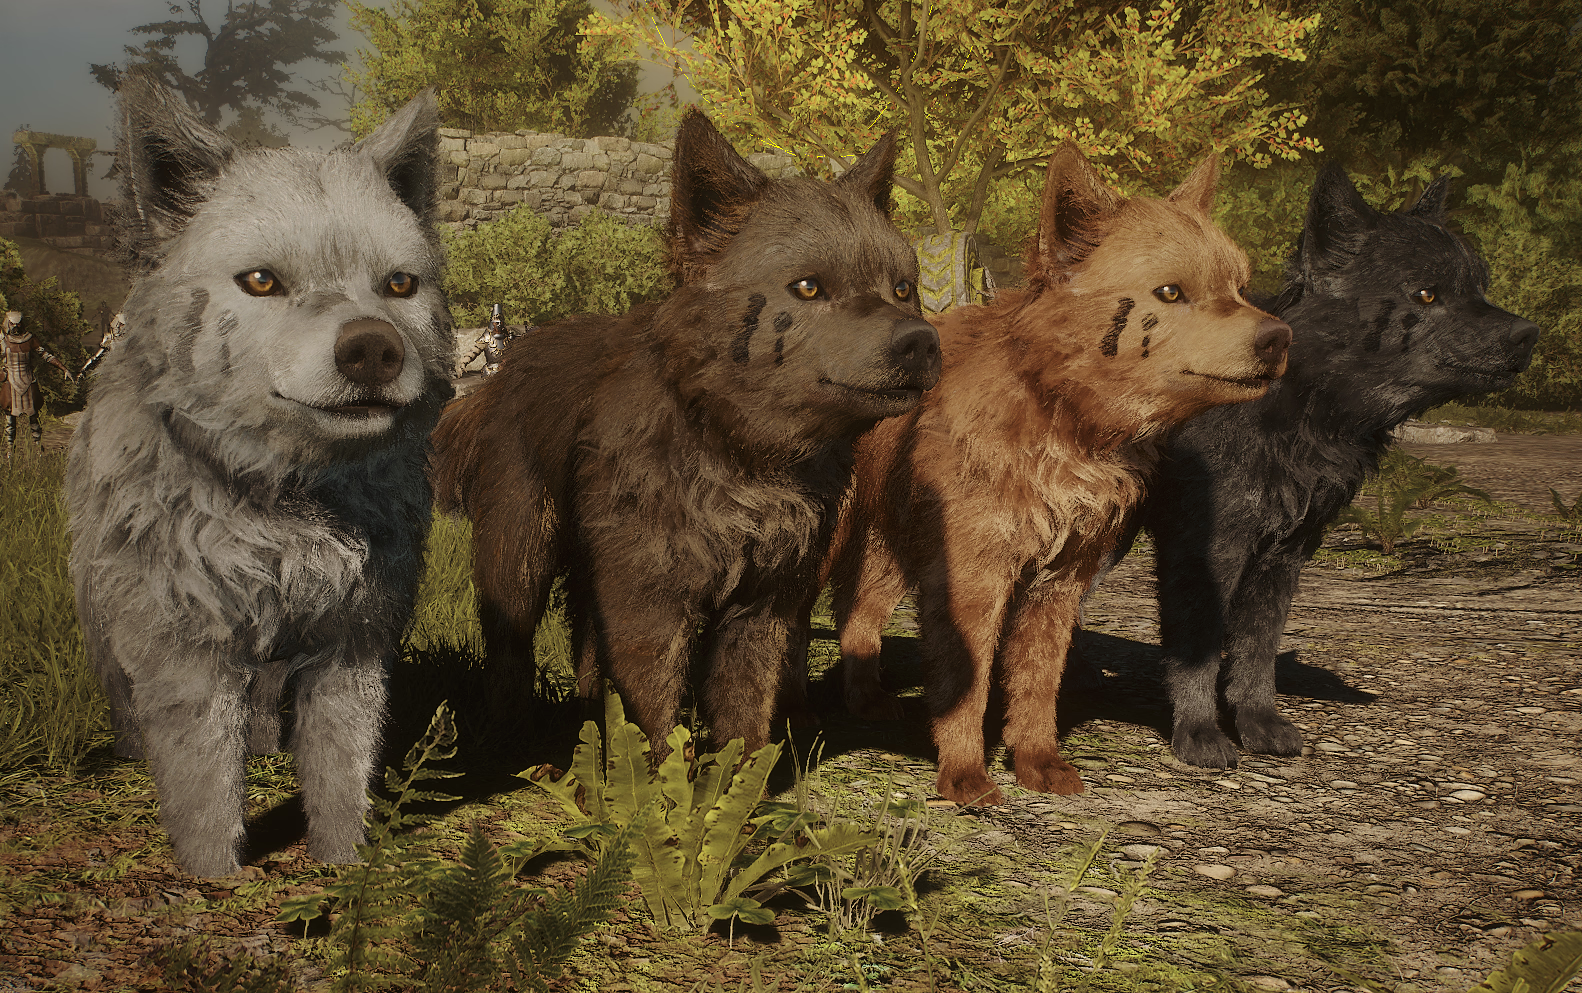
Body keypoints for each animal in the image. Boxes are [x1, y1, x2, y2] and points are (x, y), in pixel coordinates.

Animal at [67, 79, 454, 878]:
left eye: (399, 285)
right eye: (261, 281)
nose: (373, 348)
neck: (293, 505)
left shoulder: (351, 651)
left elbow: (341, 776)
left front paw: (342, 868)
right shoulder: (187, 656)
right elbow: (204, 788)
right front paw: (212, 878)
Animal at [429, 110, 940, 752]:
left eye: (902, 288)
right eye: (808, 287)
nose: (921, 342)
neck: (742, 460)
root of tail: (506, 368)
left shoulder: (762, 609)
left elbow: (744, 720)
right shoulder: (651, 610)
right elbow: (654, 720)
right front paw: (655, 778)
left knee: (588, 657)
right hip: (519, 563)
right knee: (509, 661)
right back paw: (516, 746)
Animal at [821, 145, 1290, 805]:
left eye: (1240, 288)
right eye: (1171, 292)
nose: (1280, 337)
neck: (1061, 424)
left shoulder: (1058, 587)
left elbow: (1039, 688)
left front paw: (1038, 763)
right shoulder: (975, 581)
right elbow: (967, 690)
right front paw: (965, 776)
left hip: (892, 550)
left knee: (858, 619)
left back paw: (867, 702)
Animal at [1130, 164, 1540, 769]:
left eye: (1480, 289)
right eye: (1426, 292)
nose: (1529, 334)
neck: (1295, 405)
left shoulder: (1282, 556)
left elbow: (1256, 653)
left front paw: (1257, 723)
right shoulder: (1209, 552)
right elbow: (1199, 651)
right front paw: (1200, 732)